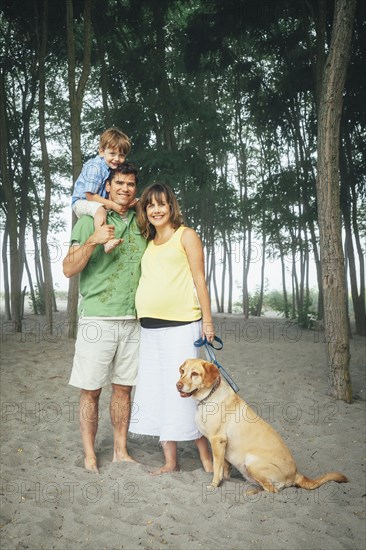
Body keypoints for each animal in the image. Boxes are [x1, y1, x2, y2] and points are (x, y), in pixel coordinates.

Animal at [176, 360, 348, 494]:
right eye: (183, 371)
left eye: (195, 374)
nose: (178, 385)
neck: (208, 397)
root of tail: (296, 474)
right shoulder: (223, 446)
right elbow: (224, 468)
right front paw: (226, 482)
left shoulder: (218, 441)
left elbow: (217, 469)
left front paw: (213, 485)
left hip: (252, 461)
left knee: (273, 490)